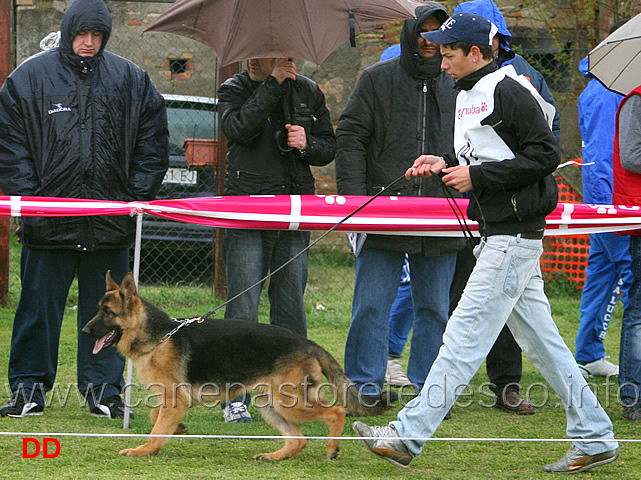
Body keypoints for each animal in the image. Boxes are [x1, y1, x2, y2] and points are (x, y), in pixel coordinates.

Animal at [80, 272, 380, 460]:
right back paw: (273, 456)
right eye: (98, 310)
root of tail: (308, 343)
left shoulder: (176, 400)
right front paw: (177, 429)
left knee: (336, 412)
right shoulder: (171, 400)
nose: (84, 331)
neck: (159, 336)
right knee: (298, 439)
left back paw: (332, 449)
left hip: (289, 403)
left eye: (108, 312)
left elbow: (156, 430)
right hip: (271, 405)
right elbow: (157, 418)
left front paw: (144, 450)